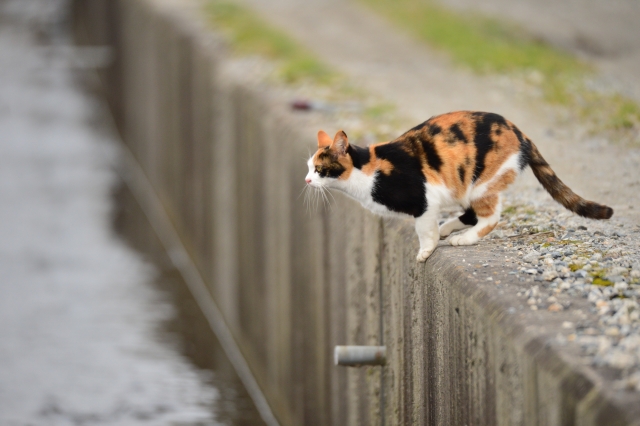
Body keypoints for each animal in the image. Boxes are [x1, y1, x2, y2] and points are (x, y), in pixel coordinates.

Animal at [306, 111, 616, 262]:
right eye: (308, 167)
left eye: (320, 170)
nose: (307, 180)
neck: (366, 173)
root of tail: (520, 134)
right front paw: (436, 236)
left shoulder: (423, 200)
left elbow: (423, 229)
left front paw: (425, 252)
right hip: (468, 187)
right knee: (470, 213)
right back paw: (449, 228)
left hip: (482, 182)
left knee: (492, 215)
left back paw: (463, 239)